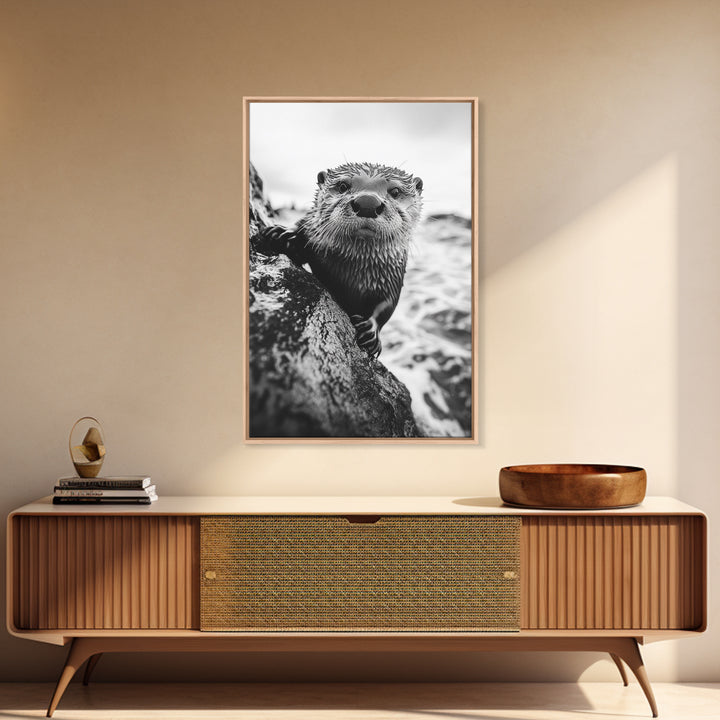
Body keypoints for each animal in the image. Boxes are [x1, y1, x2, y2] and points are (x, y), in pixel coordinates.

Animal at [254, 162, 424, 358]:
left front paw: (370, 332)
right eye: (343, 186)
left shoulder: (392, 277)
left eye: (395, 191)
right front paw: (284, 233)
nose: (367, 203)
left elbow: (386, 306)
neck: (352, 272)